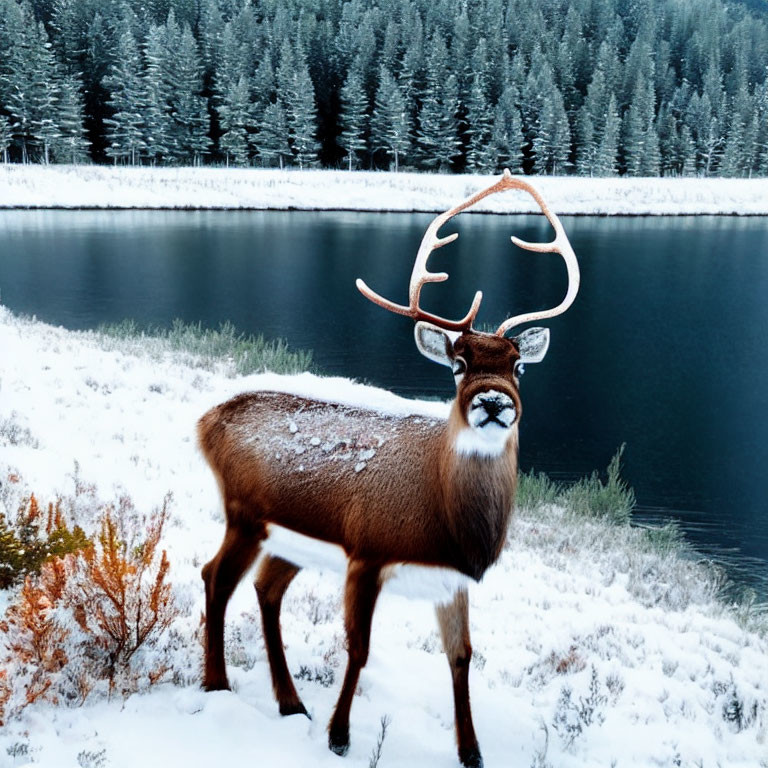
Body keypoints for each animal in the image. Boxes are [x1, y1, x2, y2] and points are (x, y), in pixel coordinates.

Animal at [195, 170, 580, 768]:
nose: (493, 402)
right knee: (216, 578)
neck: (447, 520)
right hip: (244, 514)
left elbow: (462, 656)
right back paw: (217, 685)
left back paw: (290, 703)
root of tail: (206, 420)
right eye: (458, 364)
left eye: (519, 365)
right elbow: (358, 648)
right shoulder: (368, 550)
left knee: (265, 589)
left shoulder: (450, 580)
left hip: (289, 541)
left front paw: (472, 751)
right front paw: (339, 736)